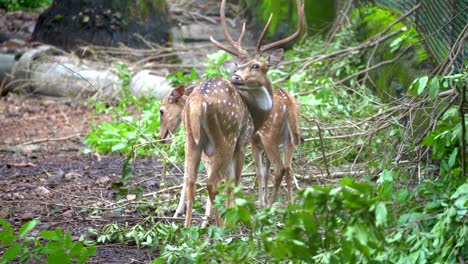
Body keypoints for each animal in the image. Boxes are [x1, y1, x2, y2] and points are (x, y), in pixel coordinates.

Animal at [161, 0, 304, 227]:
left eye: (256, 65)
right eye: (238, 66)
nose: (235, 77)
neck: (256, 114)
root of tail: (199, 99)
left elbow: (228, 180)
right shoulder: (243, 140)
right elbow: (235, 181)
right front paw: (234, 217)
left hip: (194, 140)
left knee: (191, 179)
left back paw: (187, 227)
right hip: (226, 137)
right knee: (214, 181)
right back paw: (224, 225)